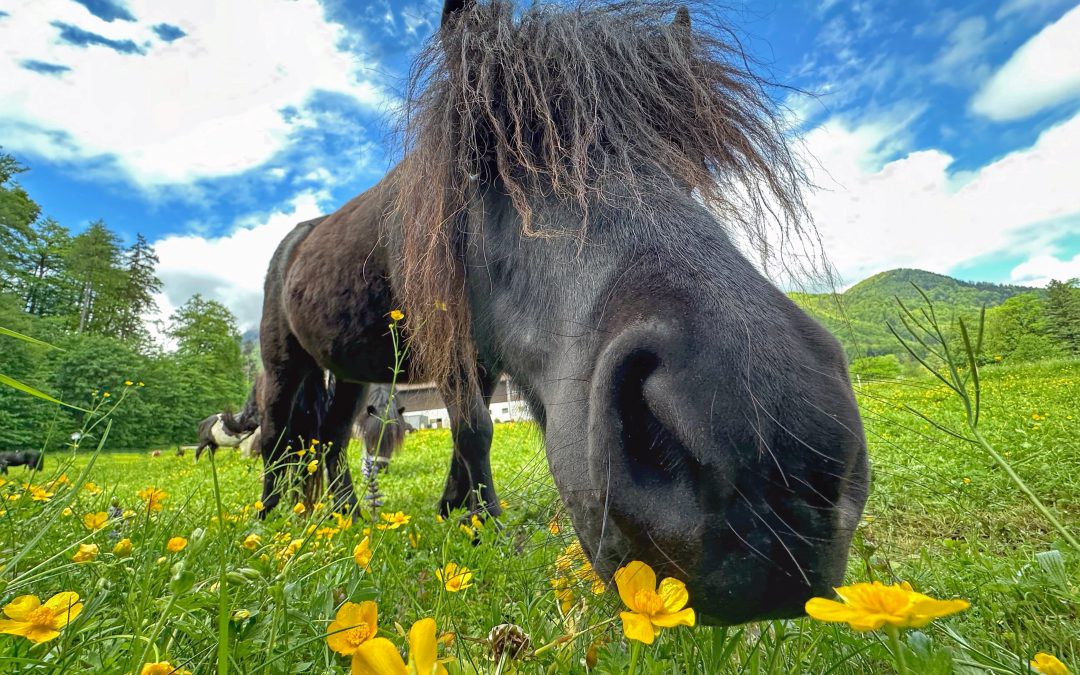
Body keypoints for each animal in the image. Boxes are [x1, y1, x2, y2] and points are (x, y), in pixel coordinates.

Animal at [245, 0, 868, 626]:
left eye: (688, 165)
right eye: (482, 163)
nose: (773, 462)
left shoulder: (480, 357)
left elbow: (469, 438)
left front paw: (459, 516)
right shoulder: (452, 352)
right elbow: (475, 429)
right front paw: (486, 527)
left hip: (348, 374)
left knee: (328, 441)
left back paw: (345, 519)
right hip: (285, 364)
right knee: (276, 434)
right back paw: (268, 528)